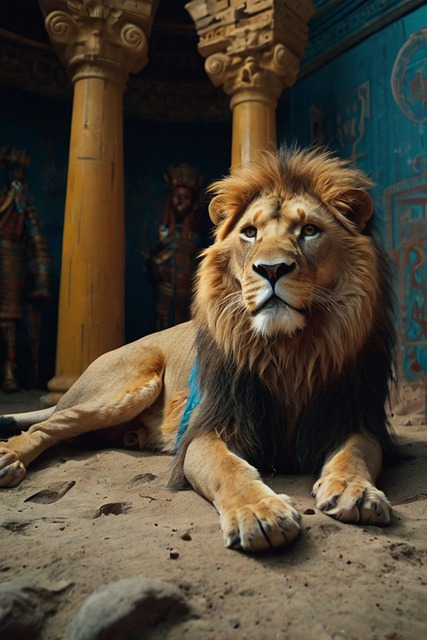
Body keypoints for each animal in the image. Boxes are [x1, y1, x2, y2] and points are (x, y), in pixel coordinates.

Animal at [0, 146, 399, 553]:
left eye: (309, 231)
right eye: (249, 233)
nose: (271, 269)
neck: (288, 353)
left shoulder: (354, 417)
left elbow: (356, 452)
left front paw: (354, 489)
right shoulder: (206, 428)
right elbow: (230, 468)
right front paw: (259, 512)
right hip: (124, 386)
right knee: (48, 426)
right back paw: (9, 457)